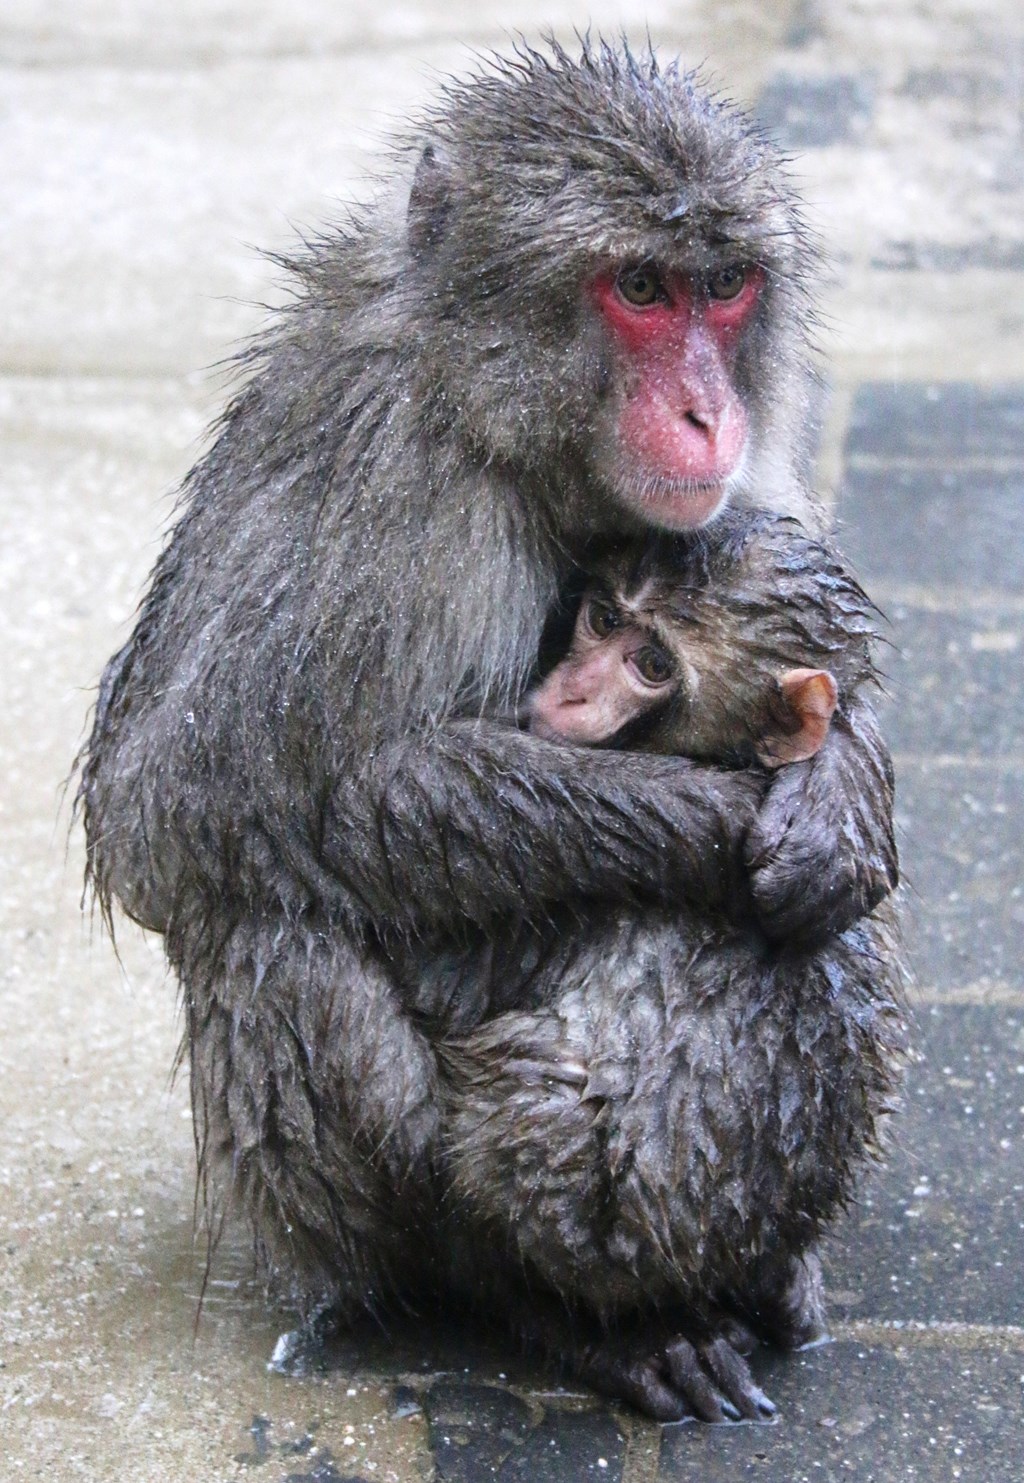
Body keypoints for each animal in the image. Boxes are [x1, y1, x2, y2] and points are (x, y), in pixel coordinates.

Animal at [79, 40, 890, 1417]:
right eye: (638, 287)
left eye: (722, 287)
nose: (704, 416)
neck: (496, 411)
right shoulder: (392, 471)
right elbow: (193, 801)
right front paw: (714, 814)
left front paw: (843, 798)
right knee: (271, 923)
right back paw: (534, 1302)